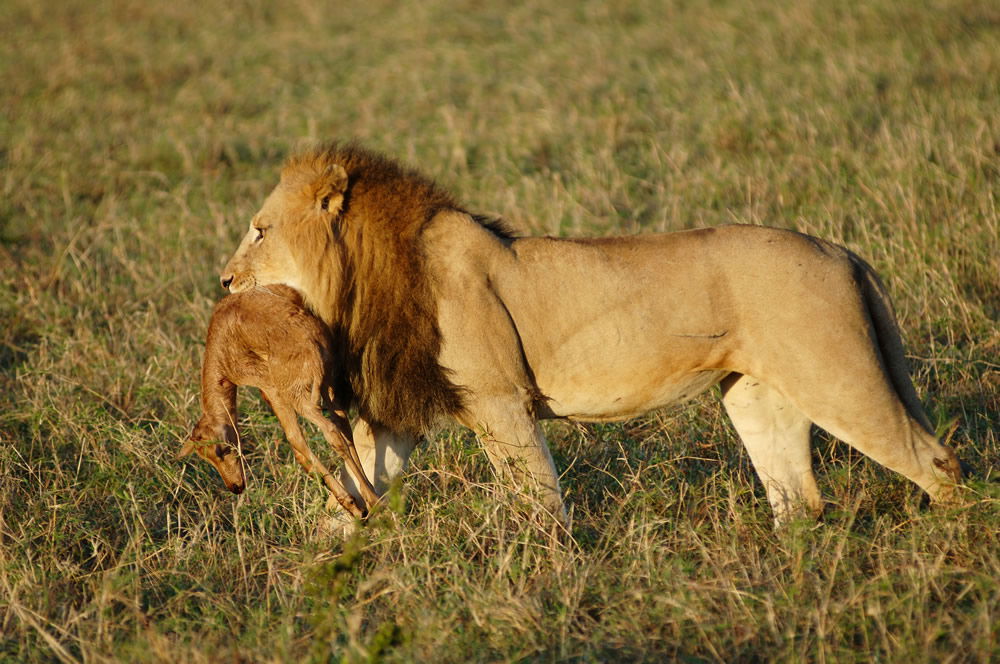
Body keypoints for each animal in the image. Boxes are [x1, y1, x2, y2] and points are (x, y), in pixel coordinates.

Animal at [178, 282, 380, 516]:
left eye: (223, 450)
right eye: (204, 457)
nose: (235, 487)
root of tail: (313, 344)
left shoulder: (269, 387)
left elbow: (294, 439)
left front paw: (350, 504)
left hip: (299, 398)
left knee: (329, 432)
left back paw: (364, 503)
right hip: (328, 386)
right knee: (344, 427)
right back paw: (371, 497)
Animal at [219, 143, 960, 528]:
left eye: (259, 230)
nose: (224, 281)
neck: (360, 278)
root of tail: (840, 251)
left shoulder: (499, 403)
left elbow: (539, 500)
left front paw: (546, 576)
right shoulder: (399, 415)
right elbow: (353, 491)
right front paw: (322, 571)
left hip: (836, 376)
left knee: (935, 462)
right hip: (755, 392)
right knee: (798, 499)